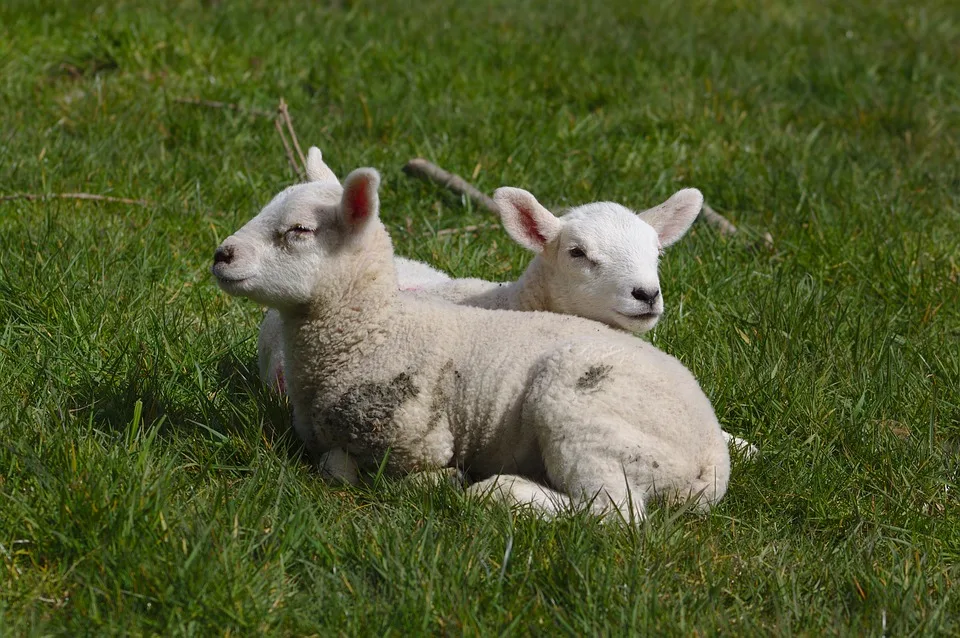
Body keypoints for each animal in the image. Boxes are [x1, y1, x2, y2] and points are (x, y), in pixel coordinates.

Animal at [214, 156, 732, 524]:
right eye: (577, 252)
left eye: (299, 230)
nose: (221, 254)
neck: (376, 328)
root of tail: (711, 463)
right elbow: (332, 464)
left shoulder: (419, 440)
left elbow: (346, 470)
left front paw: (438, 482)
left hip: (584, 412)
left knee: (613, 513)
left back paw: (499, 491)